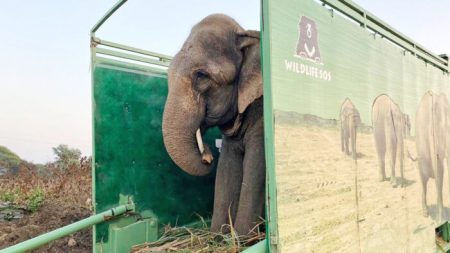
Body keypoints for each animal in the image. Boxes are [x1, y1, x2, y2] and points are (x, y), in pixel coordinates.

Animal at [162, 14, 266, 235]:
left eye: (201, 75)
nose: (208, 156)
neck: (245, 33)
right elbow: (227, 167)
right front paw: (219, 235)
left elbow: (255, 164)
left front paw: (242, 237)